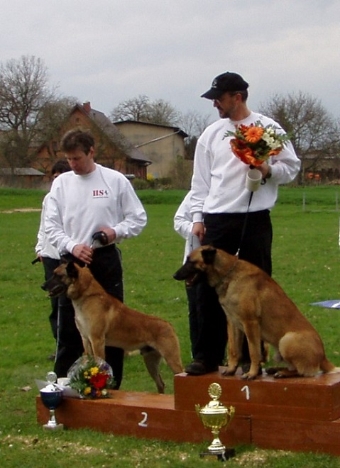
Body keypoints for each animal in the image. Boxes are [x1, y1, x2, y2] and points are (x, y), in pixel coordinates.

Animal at [42, 262, 183, 394]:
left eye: (58, 275)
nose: (42, 286)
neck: (87, 296)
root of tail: (168, 325)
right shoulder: (86, 340)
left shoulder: (97, 340)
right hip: (151, 362)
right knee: (161, 383)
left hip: (171, 360)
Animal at [174, 245, 338, 380]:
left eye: (191, 262)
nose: (174, 276)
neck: (228, 273)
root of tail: (323, 357)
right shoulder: (233, 324)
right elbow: (233, 350)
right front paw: (232, 369)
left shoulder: (250, 323)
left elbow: (253, 352)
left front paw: (251, 373)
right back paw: (275, 369)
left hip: (286, 340)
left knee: (302, 372)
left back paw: (282, 373)